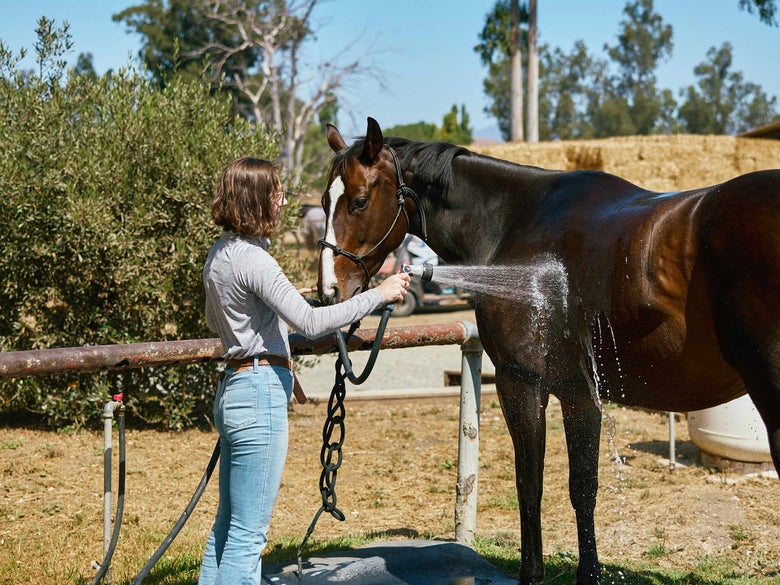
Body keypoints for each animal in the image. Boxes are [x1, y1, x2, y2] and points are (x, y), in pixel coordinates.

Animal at [316, 117, 780, 585]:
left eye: (358, 201)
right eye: (323, 200)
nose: (330, 291)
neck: (512, 223)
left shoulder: (521, 383)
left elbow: (530, 483)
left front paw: (532, 573)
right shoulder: (580, 394)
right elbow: (583, 489)